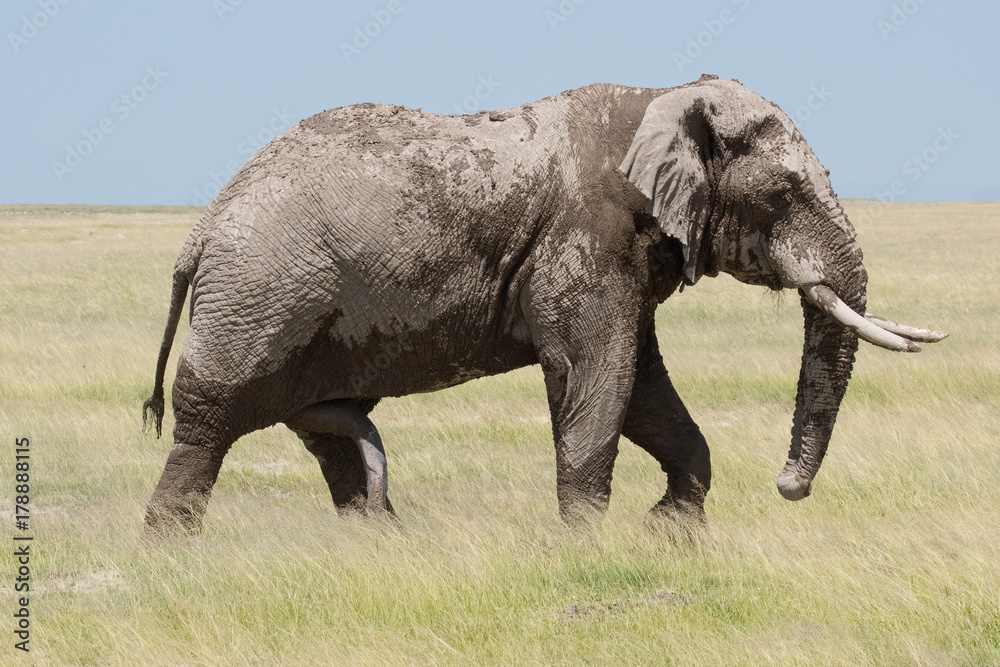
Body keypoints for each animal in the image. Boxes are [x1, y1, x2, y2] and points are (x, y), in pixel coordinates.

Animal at [142, 74, 946, 534]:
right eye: (784, 192)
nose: (786, 487)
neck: (662, 99)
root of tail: (201, 230)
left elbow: (645, 388)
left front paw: (669, 535)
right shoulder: (586, 236)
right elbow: (599, 376)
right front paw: (586, 550)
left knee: (331, 436)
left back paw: (382, 547)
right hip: (261, 294)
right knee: (208, 425)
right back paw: (170, 554)